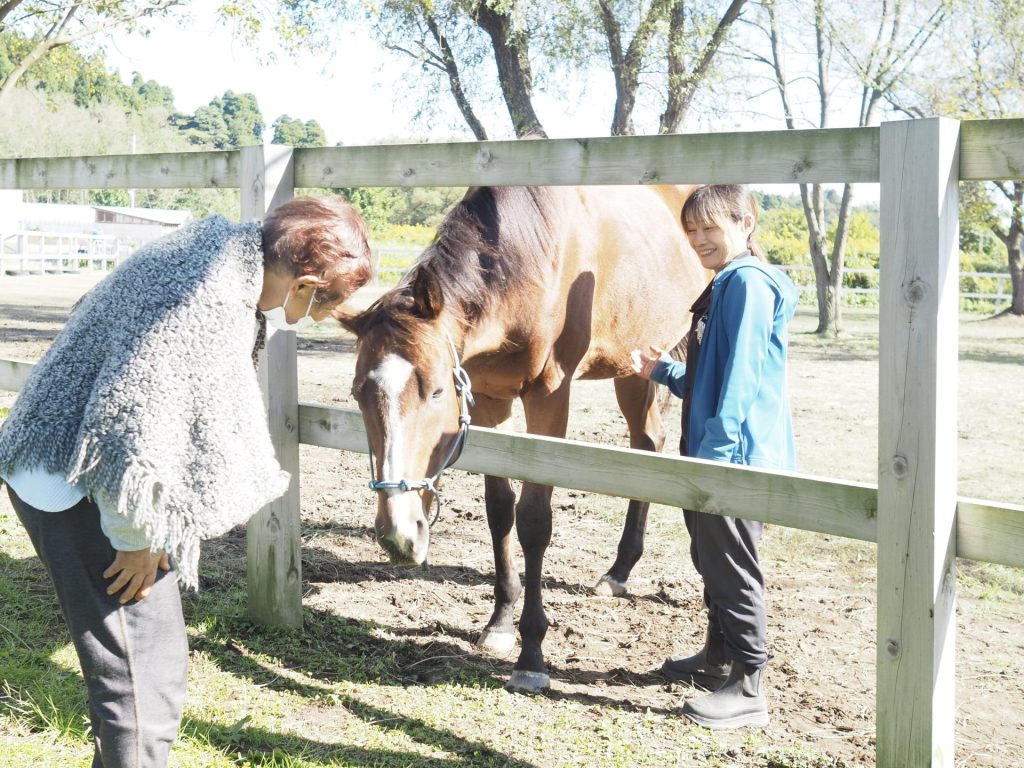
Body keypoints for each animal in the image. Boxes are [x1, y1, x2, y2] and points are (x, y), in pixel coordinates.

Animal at [339, 184, 707, 693]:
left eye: (436, 390)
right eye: (358, 392)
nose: (398, 534)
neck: (529, 259)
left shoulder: (550, 396)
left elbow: (534, 520)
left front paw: (531, 651)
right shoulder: (489, 399)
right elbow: (499, 511)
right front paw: (499, 622)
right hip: (633, 365)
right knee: (647, 442)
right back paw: (619, 571)